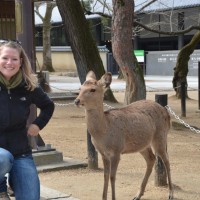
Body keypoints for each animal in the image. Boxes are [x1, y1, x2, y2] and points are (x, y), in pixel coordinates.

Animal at [74, 71, 173, 199]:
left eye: (93, 89)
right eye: (80, 88)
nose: (76, 101)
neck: (103, 132)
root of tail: (167, 112)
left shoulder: (116, 151)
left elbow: (112, 177)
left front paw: (113, 198)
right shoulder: (103, 153)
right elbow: (105, 176)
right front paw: (103, 197)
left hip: (160, 137)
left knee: (166, 160)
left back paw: (170, 194)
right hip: (142, 144)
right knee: (151, 158)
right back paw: (137, 195)